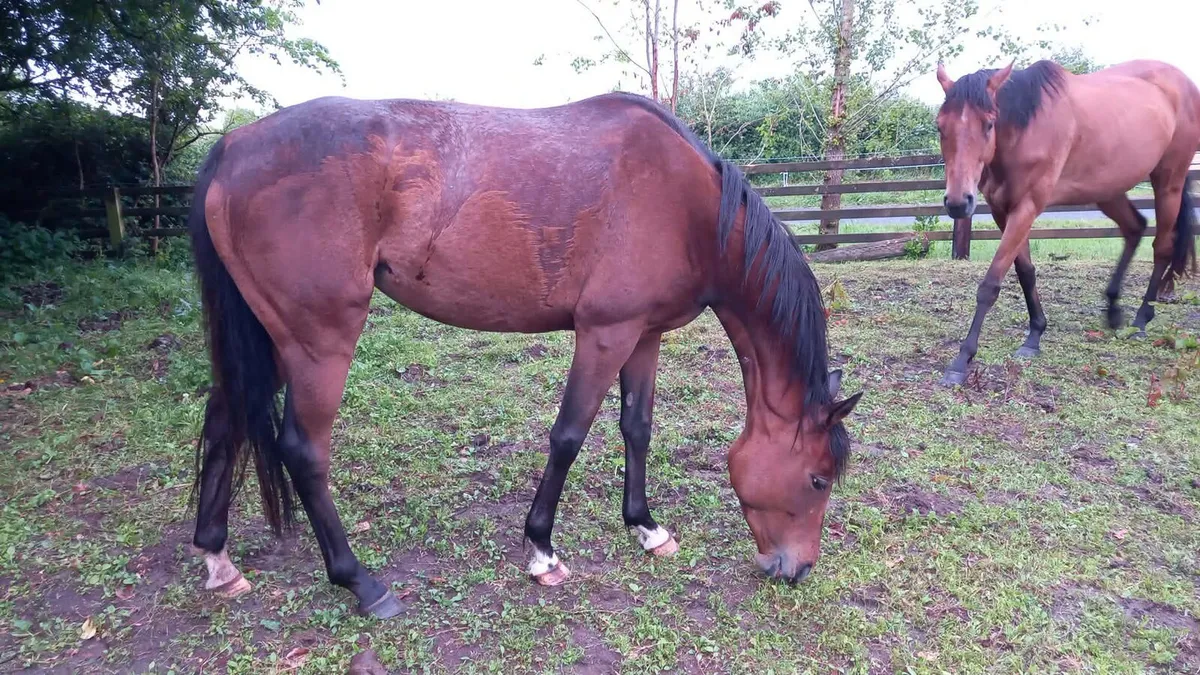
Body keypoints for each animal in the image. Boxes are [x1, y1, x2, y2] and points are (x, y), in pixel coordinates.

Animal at [186, 91, 863, 618]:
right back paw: (362, 583)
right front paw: (541, 550)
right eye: (817, 478)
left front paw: (645, 527)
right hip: (318, 341)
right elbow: (569, 435)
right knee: (302, 451)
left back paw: (218, 558)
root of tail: (234, 145)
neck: (689, 206)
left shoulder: (643, 335)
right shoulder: (604, 333)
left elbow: (636, 427)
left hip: (271, 341)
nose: (797, 569)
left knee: (224, 419)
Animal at [934, 59, 1199, 385]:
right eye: (940, 126)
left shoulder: (1027, 208)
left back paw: (1140, 321)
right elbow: (1025, 273)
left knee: (1161, 247)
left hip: (1168, 183)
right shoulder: (1002, 211)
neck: (1025, 130)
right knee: (1134, 228)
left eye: (989, 124)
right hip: (1108, 190)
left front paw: (961, 361)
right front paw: (1034, 336)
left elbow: (990, 284)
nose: (958, 203)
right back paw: (1114, 309)